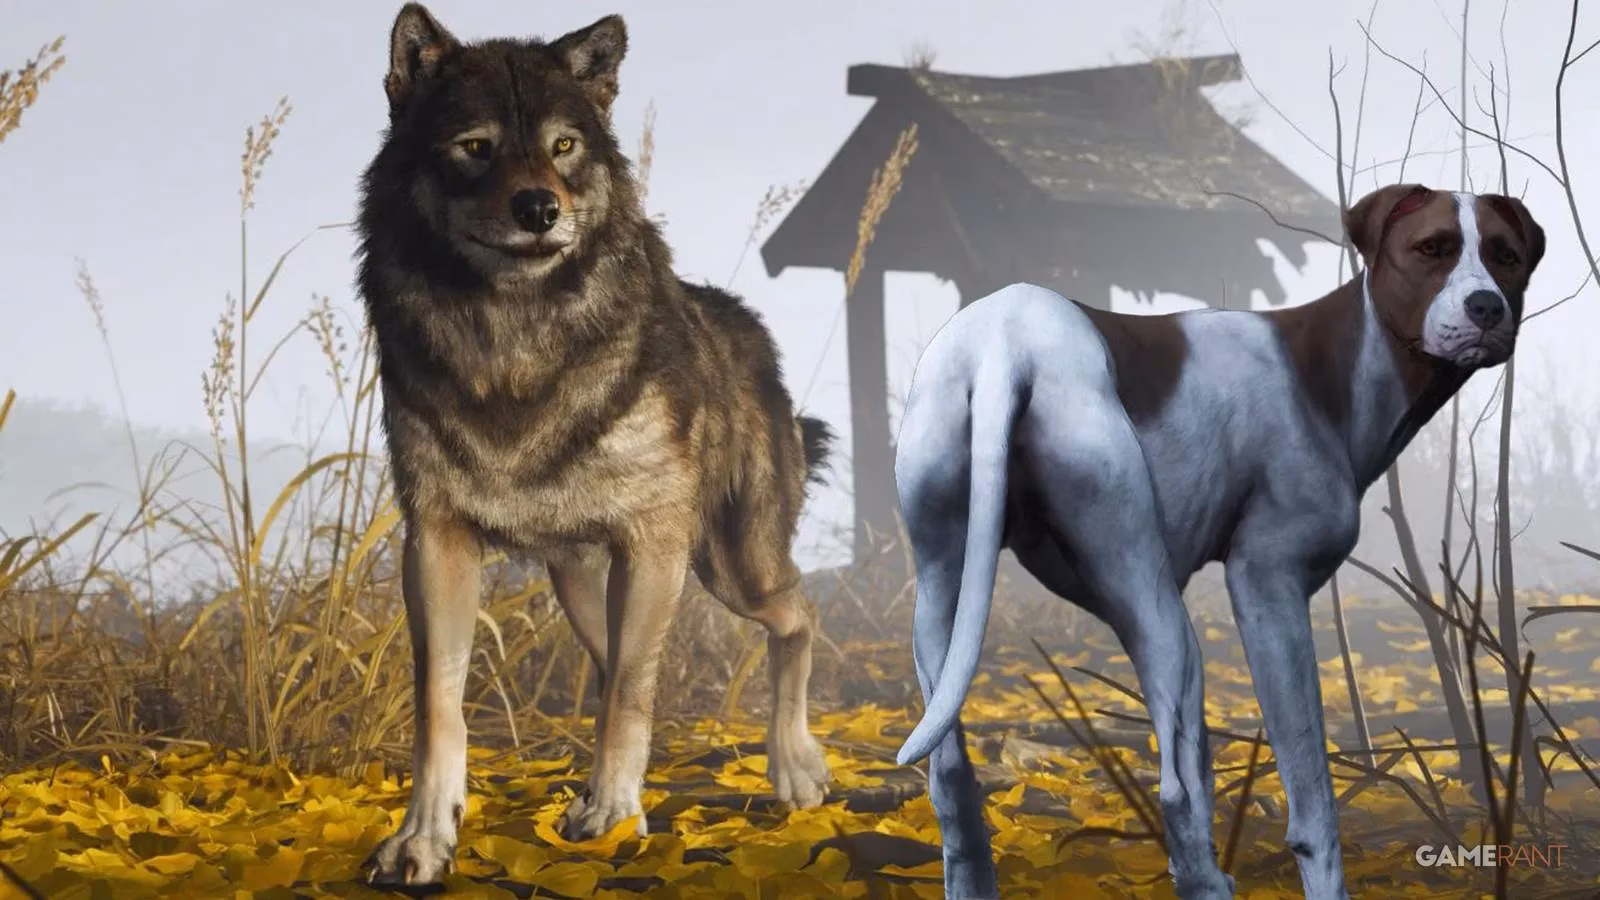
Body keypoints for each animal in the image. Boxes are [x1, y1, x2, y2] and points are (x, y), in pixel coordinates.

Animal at [355, 4, 835, 884]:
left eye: (564, 146)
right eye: (475, 146)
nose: (539, 209)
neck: (514, 342)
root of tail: (744, 322)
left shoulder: (652, 542)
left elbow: (626, 701)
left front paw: (613, 818)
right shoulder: (436, 543)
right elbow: (440, 706)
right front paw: (424, 840)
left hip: (729, 567)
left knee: (795, 619)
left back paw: (795, 769)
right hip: (586, 587)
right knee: (625, 669)